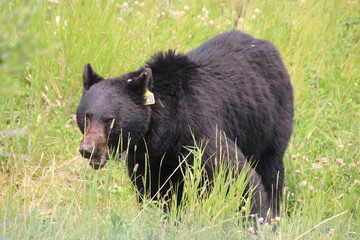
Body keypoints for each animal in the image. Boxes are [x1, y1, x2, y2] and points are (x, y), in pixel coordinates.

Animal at [75, 29, 292, 218]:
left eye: (110, 120)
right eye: (86, 116)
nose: (88, 150)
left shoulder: (198, 131)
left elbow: (238, 175)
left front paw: (258, 219)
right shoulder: (149, 157)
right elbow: (153, 190)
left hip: (270, 122)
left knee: (271, 169)